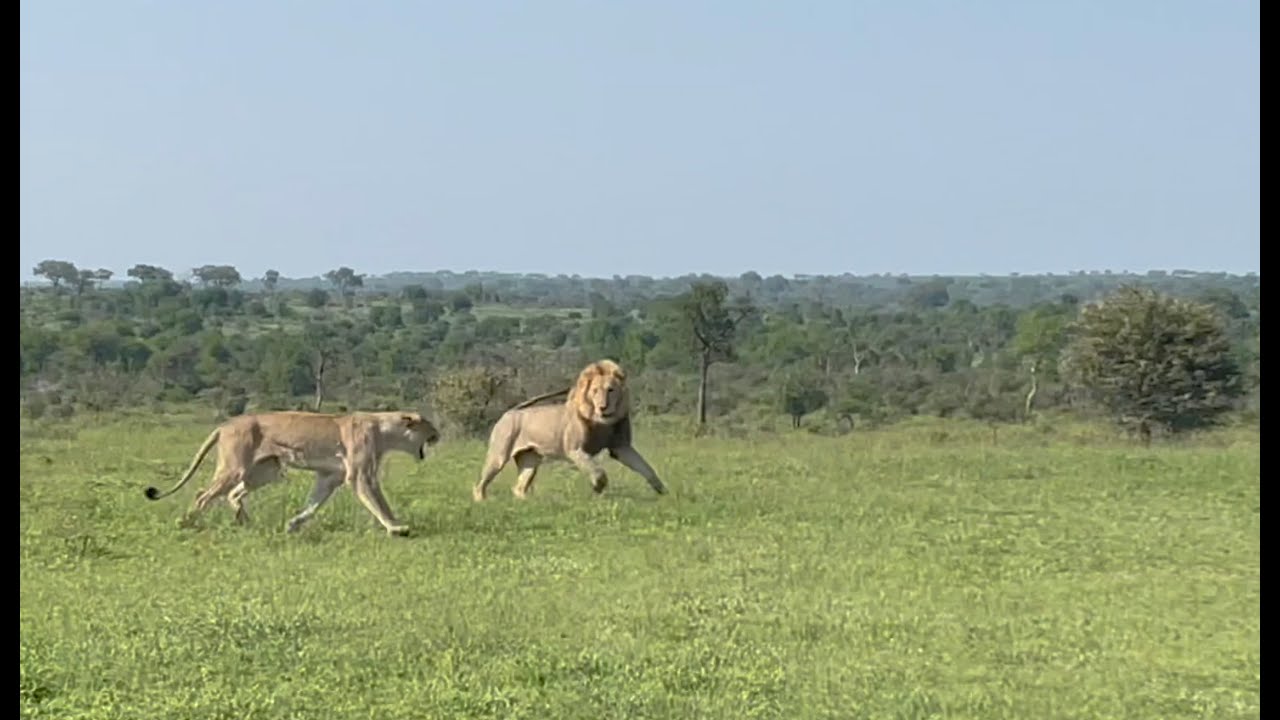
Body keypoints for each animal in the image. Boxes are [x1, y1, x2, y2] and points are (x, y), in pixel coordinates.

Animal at [142, 410, 441, 536]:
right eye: (429, 425)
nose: (438, 434)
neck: (384, 430)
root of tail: (225, 425)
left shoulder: (329, 477)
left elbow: (313, 505)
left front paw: (293, 525)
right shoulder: (360, 476)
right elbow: (379, 503)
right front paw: (396, 527)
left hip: (266, 469)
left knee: (234, 495)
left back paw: (246, 522)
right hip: (235, 467)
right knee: (204, 494)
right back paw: (187, 524)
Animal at [473, 359, 667, 500]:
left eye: (611, 390)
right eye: (595, 391)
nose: (603, 407)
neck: (602, 422)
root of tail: (510, 411)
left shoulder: (621, 447)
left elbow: (646, 468)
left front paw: (663, 492)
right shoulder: (575, 449)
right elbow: (598, 471)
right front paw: (598, 488)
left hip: (530, 460)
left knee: (519, 487)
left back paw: (527, 502)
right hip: (499, 454)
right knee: (480, 484)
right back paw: (482, 501)